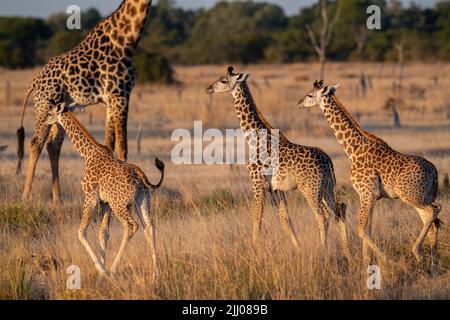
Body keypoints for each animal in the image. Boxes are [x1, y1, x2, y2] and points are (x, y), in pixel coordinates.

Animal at [16, 0, 154, 202]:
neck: (126, 40)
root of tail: (35, 81)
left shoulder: (111, 99)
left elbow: (109, 143)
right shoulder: (120, 94)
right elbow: (122, 147)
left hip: (60, 110)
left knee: (53, 145)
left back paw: (57, 198)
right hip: (44, 106)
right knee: (36, 143)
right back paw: (26, 196)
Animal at [43, 103, 163, 278]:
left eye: (51, 113)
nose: (45, 121)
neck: (87, 154)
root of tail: (140, 176)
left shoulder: (90, 196)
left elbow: (81, 231)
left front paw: (101, 268)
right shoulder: (105, 203)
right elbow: (103, 233)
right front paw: (102, 267)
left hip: (119, 204)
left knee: (131, 226)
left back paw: (114, 268)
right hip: (142, 201)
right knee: (149, 227)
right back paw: (156, 273)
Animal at [206, 67, 350, 255]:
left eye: (223, 80)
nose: (208, 88)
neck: (253, 138)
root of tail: (327, 161)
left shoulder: (257, 181)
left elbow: (257, 216)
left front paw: (254, 249)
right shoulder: (275, 188)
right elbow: (284, 218)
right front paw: (297, 248)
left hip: (310, 188)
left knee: (322, 216)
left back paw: (322, 250)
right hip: (328, 186)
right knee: (339, 210)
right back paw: (346, 251)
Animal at [298, 81, 442, 266]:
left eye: (310, 95)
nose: (299, 103)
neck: (352, 150)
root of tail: (435, 172)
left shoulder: (366, 193)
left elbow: (360, 228)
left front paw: (386, 260)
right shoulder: (371, 196)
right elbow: (368, 228)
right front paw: (367, 262)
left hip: (410, 195)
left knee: (434, 209)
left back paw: (417, 251)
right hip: (422, 196)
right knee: (431, 219)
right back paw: (432, 259)